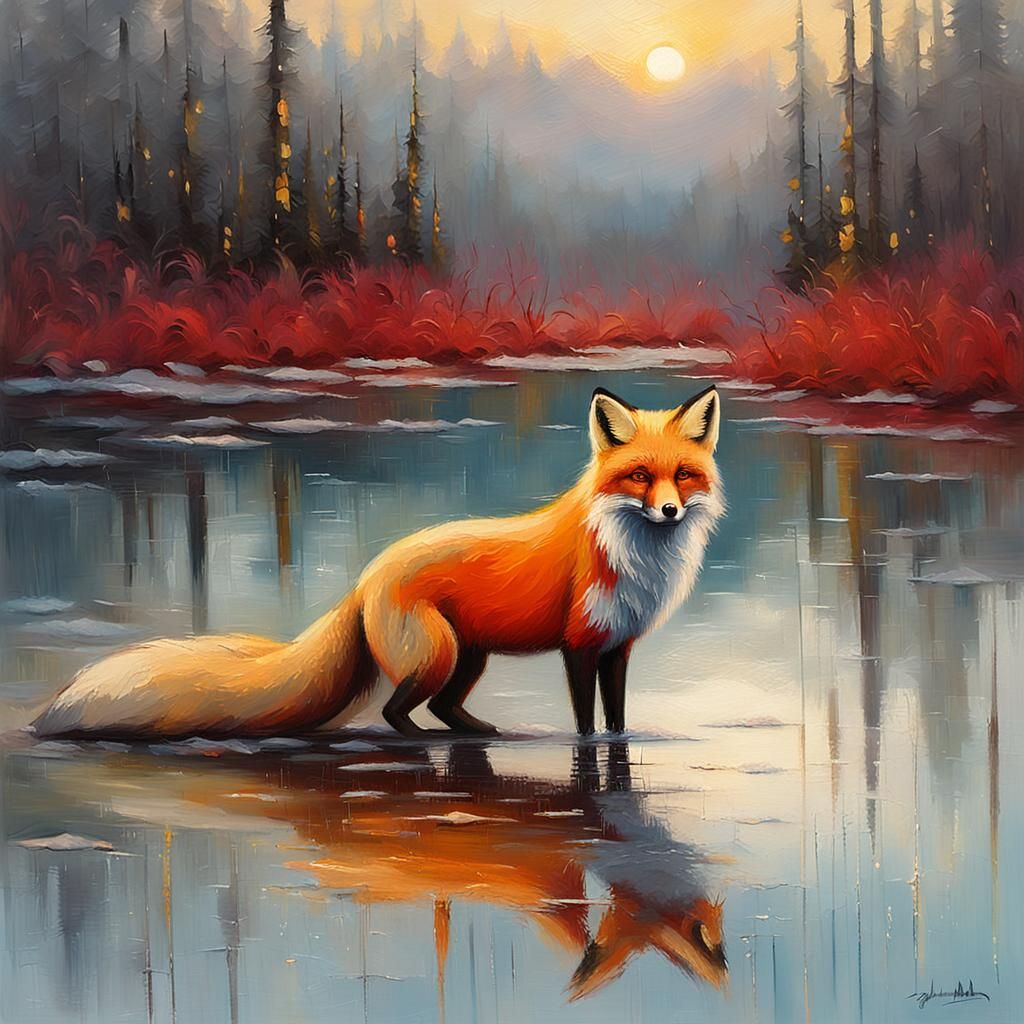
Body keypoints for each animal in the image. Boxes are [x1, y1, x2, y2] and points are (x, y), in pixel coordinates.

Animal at [31, 385, 724, 740]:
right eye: (639, 476)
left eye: (683, 476)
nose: (668, 511)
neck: (633, 556)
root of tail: (366, 575)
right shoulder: (579, 645)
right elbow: (585, 723)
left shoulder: (617, 646)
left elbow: (616, 717)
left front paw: (621, 744)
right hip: (438, 653)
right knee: (398, 712)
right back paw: (421, 742)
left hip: (467, 655)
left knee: (442, 708)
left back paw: (479, 733)